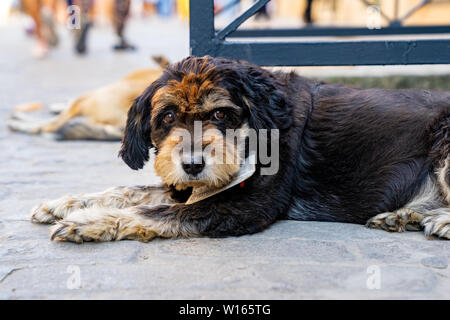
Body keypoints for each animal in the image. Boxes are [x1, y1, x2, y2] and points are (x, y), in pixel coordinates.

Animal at [29, 55, 450, 242]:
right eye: (167, 116)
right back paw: (404, 215)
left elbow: (157, 210)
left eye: (221, 113)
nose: (193, 165)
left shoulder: (245, 205)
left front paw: (90, 221)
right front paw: (67, 203)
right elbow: (131, 191)